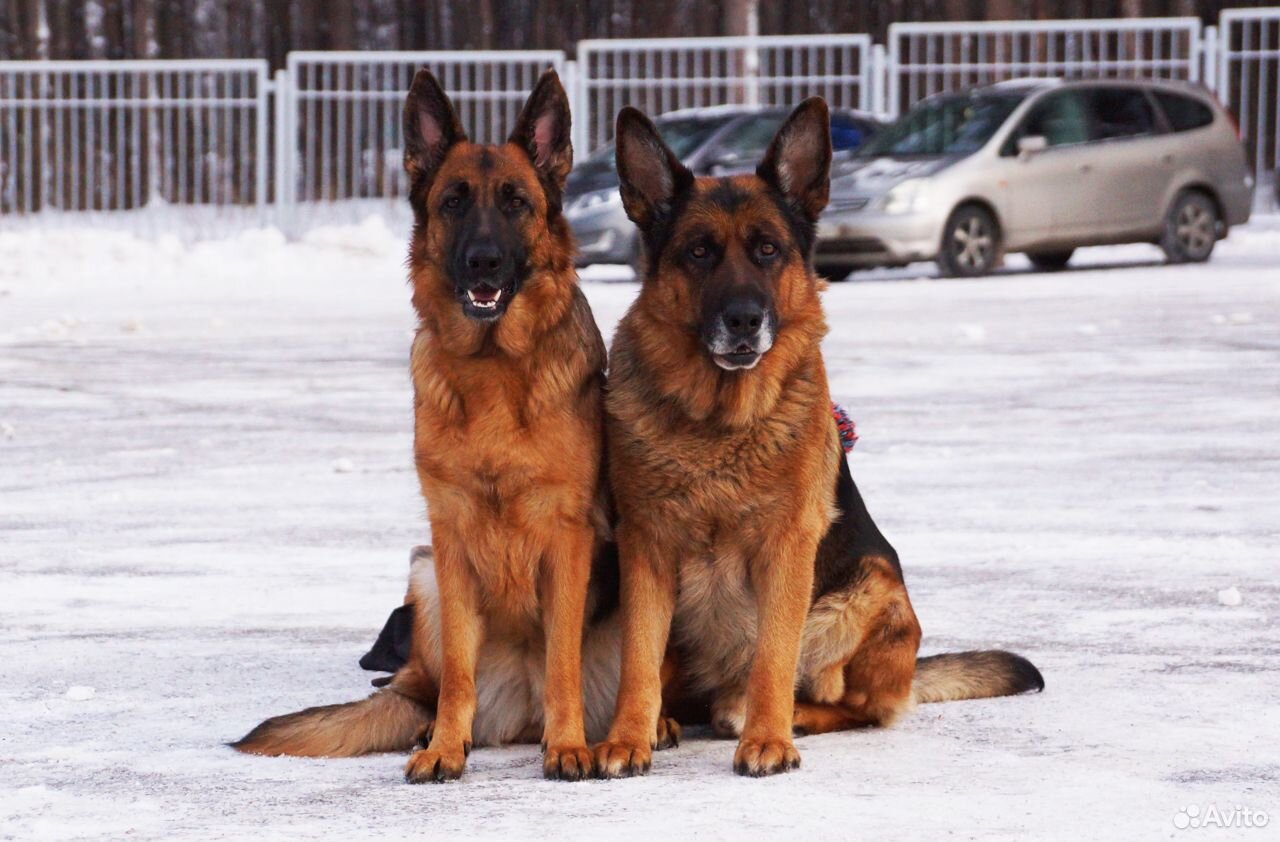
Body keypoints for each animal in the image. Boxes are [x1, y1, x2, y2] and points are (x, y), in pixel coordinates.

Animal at [238, 70, 627, 778]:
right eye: (452, 202)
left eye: (516, 203)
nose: (483, 262)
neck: (495, 370)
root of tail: (519, 709)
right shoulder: (450, 535)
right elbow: (459, 677)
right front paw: (446, 747)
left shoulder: (568, 538)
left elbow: (563, 661)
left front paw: (568, 747)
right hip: (426, 577)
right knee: (420, 685)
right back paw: (431, 729)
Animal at [591, 101, 1039, 778]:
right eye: (698, 252)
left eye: (768, 250)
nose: (744, 320)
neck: (717, 425)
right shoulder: (647, 550)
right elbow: (638, 660)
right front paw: (627, 738)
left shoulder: (786, 550)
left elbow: (774, 656)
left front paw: (768, 738)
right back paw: (672, 719)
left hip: (870, 589)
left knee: (858, 706)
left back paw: (775, 715)